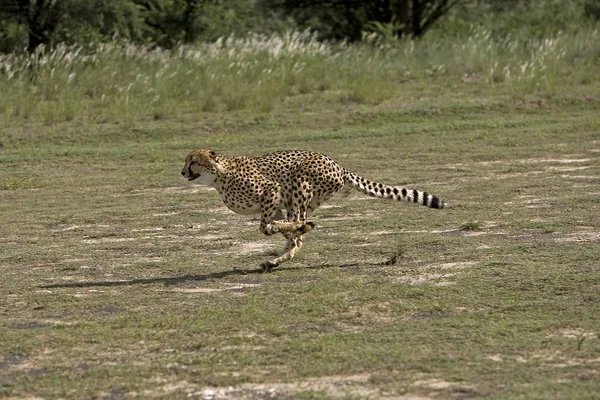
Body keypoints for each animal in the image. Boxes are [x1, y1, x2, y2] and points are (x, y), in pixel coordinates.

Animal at [183, 150, 446, 272]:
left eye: (193, 161)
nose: (183, 171)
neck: (220, 176)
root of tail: (338, 165)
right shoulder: (275, 204)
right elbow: (277, 230)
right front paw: (287, 233)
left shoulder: (272, 189)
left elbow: (265, 226)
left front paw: (282, 229)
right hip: (299, 199)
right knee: (298, 234)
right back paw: (277, 257)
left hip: (301, 182)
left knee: (299, 225)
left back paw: (298, 231)